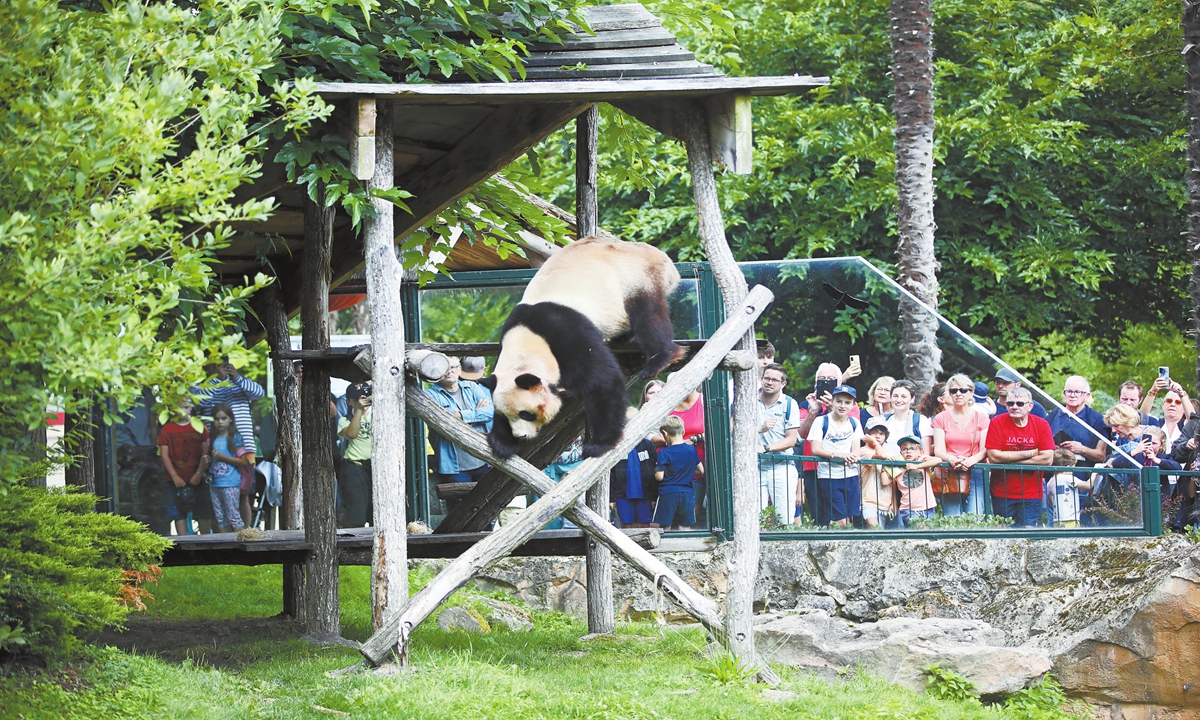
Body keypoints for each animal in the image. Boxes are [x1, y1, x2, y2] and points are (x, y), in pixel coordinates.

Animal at [479, 236, 684, 459]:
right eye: (506, 416)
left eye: (526, 414)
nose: (521, 436)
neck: (528, 340)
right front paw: (502, 442)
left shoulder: (566, 332)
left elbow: (602, 379)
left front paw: (600, 444)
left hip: (637, 277)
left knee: (648, 317)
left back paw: (659, 359)